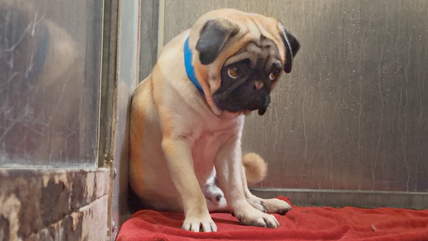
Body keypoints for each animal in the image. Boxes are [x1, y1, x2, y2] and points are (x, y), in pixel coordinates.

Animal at [129, 8, 300, 233]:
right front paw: (200, 218)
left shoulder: (230, 148)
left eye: (273, 74)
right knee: (221, 201)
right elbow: (192, 188)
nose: (257, 85)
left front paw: (250, 214)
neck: (210, 106)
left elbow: (235, 189)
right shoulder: (177, 145)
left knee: (243, 194)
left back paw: (262, 206)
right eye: (234, 71)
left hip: (238, 161)